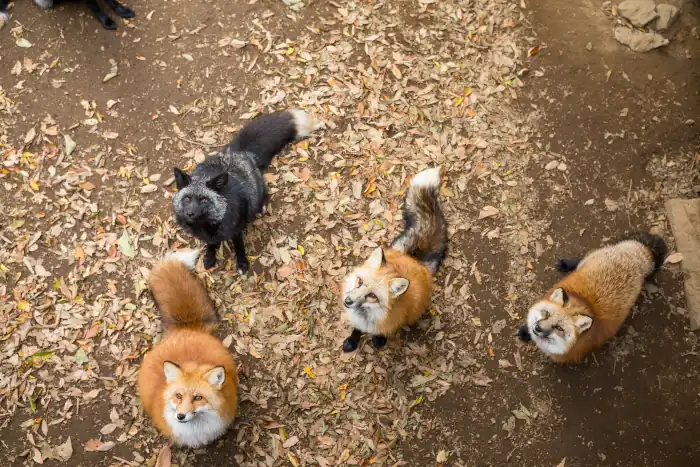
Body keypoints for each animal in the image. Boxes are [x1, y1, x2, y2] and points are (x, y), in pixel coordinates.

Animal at [172, 109, 317, 274]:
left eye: (203, 200)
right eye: (187, 198)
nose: (189, 213)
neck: (207, 224)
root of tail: (240, 153)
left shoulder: (236, 228)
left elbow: (239, 247)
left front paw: (242, 263)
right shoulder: (209, 236)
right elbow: (210, 244)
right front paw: (209, 257)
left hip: (258, 191)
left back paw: (261, 207)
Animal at [341, 167, 447, 352]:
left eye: (372, 296)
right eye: (359, 282)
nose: (348, 301)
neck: (365, 316)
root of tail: (414, 259)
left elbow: (380, 333)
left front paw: (378, 341)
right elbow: (356, 330)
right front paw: (352, 341)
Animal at [516, 232, 668, 364]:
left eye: (559, 328)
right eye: (546, 314)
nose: (538, 328)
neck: (584, 303)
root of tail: (637, 257)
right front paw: (526, 331)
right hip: (587, 260)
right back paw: (567, 265)